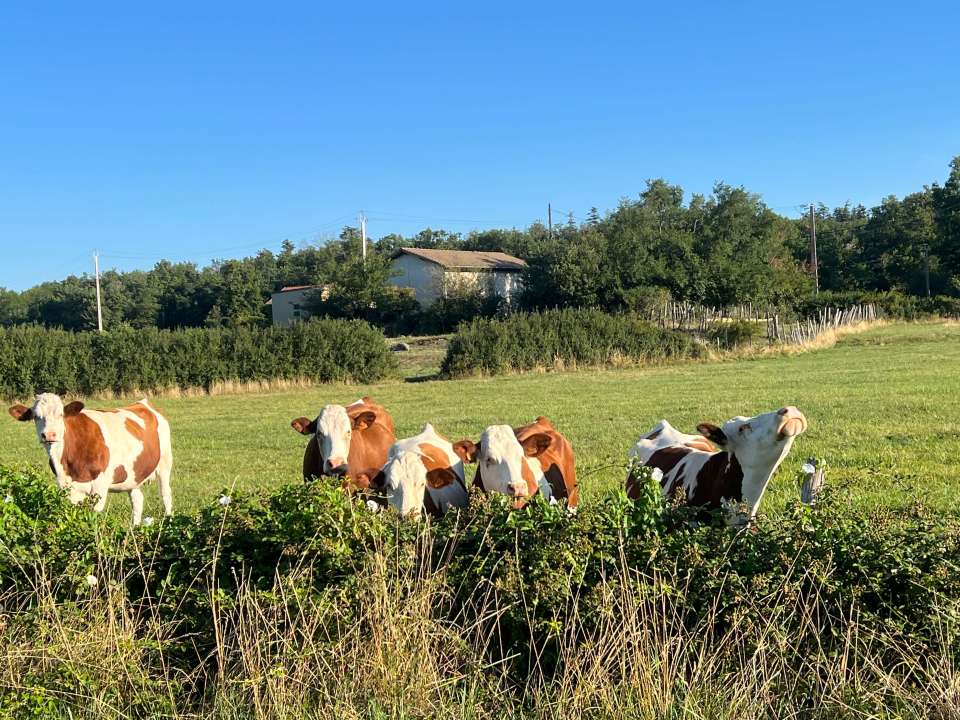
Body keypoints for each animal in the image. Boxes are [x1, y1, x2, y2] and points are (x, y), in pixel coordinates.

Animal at [8, 393, 173, 525]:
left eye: (61, 415)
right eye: (36, 417)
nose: (49, 435)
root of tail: (143, 403)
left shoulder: (100, 485)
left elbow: (92, 515)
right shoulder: (66, 487)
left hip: (165, 463)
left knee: (166, 495)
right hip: (133, 474)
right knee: (137, 500)